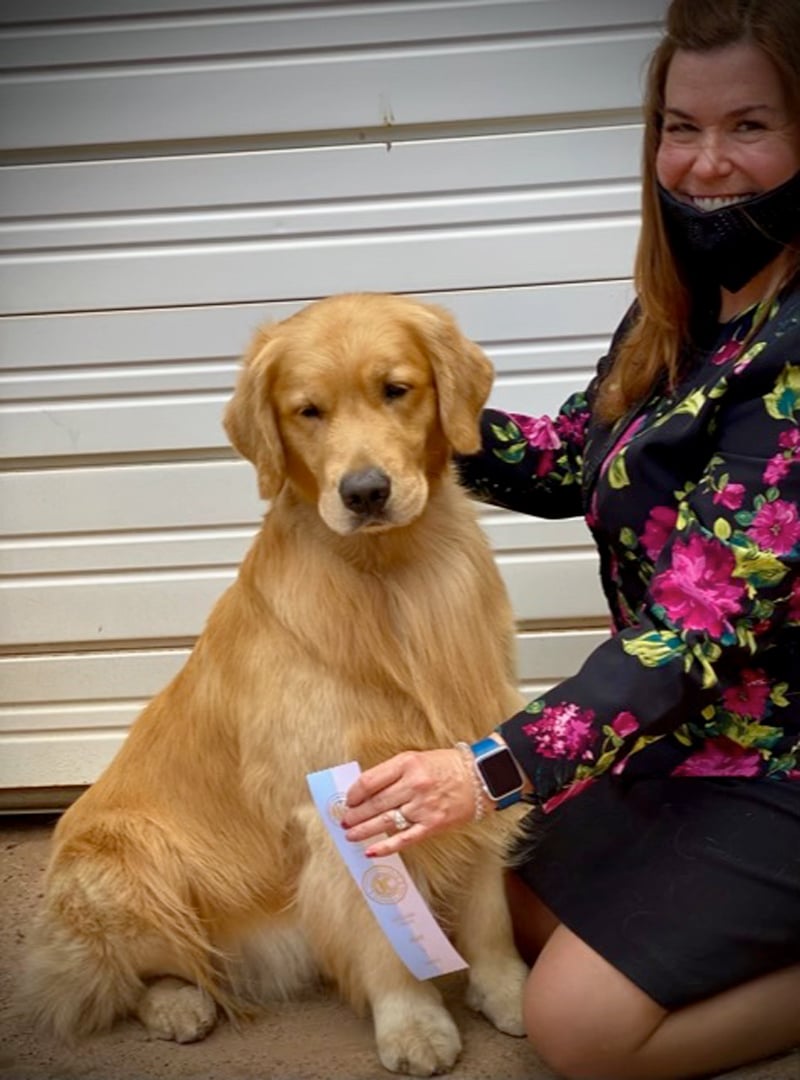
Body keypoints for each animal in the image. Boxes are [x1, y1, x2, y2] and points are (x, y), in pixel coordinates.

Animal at [21, 291, 526, 1075]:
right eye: (307, 411)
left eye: (396, 389)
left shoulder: (464, 750)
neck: (390, 574)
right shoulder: (335, 801)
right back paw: (179, 1005)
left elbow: (488, 907)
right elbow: (382, 939)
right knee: (117, 979)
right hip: (126, 861)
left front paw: (509, 992)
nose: (365, 492)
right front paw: (413, 1024)